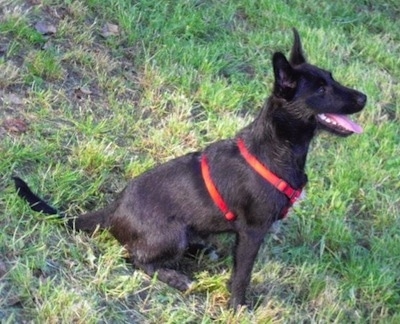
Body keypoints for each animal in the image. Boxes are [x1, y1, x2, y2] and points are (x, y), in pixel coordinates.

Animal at [14, 29, 368, 308]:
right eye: (320, 90)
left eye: (332, 78)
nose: (364, 97)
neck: (277, 146)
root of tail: (113, 210)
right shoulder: (253, 232)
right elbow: (242, 276)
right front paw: (239, 308)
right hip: (173, 235)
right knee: (135, 257)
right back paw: (175, 276)